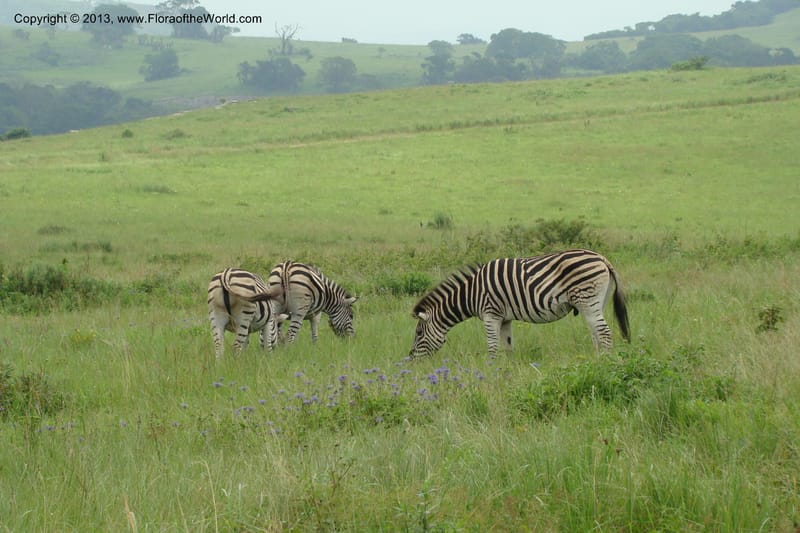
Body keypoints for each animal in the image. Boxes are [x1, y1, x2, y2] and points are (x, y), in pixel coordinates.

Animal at [408, 249, 630, 358]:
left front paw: (491, 372)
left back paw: (605, 362)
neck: (471, 293)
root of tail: (602, 258)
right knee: (597, 333)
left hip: (587, 299)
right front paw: (507, 372)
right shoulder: (505, 318)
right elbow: (507, 347)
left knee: (604, 333)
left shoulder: (490, 314)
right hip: (596, 302)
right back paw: (596, 360)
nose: (411, 359)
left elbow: (492, 347)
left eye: (418, 333)